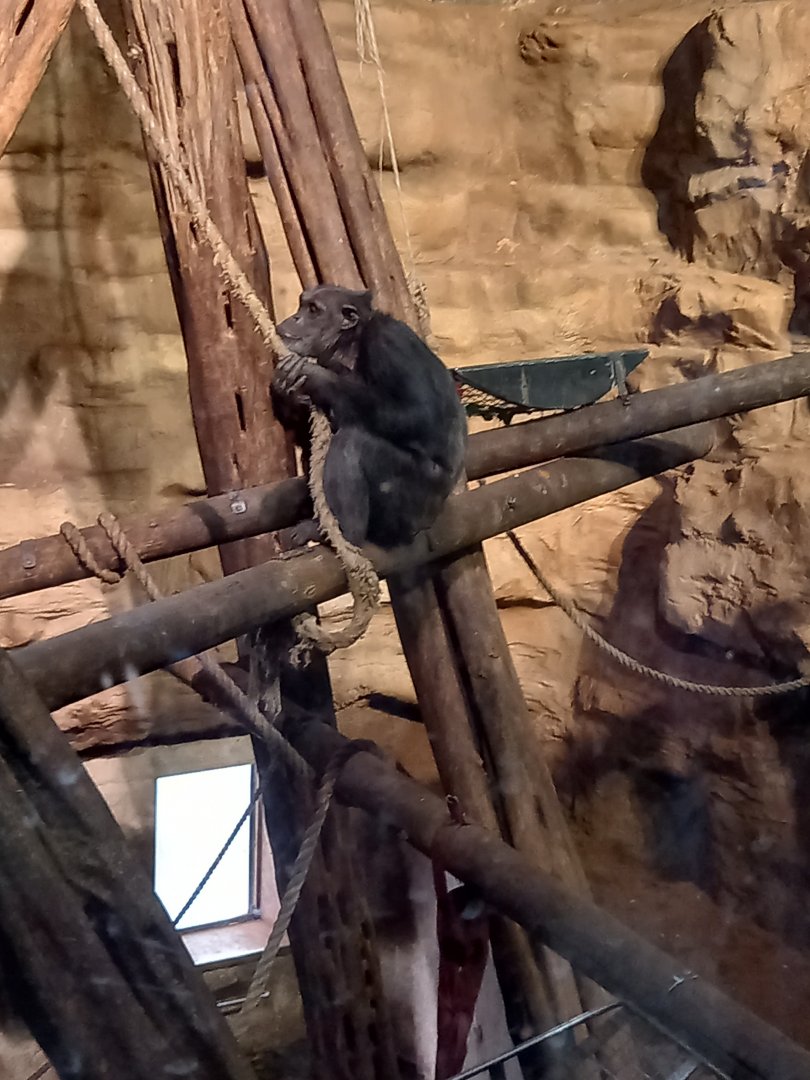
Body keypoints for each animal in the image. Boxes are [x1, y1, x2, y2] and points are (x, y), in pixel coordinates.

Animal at [271, 284, 468, 551]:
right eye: (303, 305)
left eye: (313, 310)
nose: (295, 317)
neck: (349, 345)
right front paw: (284, 390)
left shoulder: (390, 344)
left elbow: (419, 411)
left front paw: (314, 376)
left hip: (415, 502)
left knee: (352, 443)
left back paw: (343, 532)